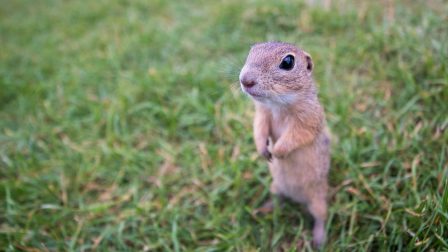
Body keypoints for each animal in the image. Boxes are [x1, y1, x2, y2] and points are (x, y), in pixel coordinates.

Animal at [240, 41, 330, 248]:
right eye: (251, 50)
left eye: (288, 62)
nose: (245, 80)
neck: (277, 105)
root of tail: (297, 199)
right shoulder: (262, 114)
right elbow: (259, 128)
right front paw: (263, 150)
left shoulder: (307, 119)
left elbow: (298, 135)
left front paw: (278, 152)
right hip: (276, 186)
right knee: (278, 199)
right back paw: (264, 209)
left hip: (318, 199)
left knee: (321, 216)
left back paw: (319, 238)